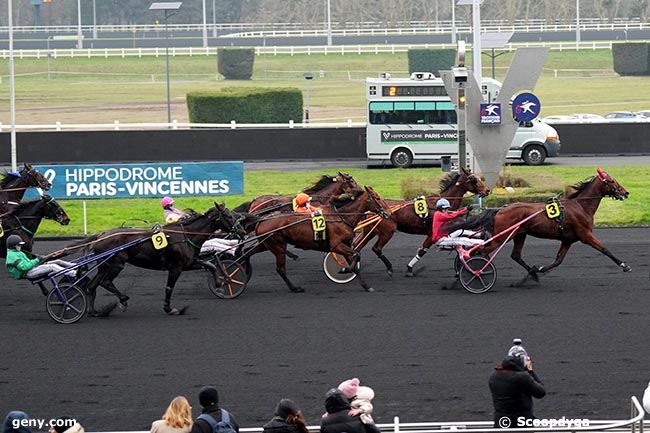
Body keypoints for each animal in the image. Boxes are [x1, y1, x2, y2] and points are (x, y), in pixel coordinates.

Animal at [69, 201, 244, 316]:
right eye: (228, 215)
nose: (241, 231)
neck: (185, 235)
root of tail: (101, 235)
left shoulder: (188, 263)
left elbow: (211, 265)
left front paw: (220, 284)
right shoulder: (176, 267)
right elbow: (169, 288)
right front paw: (170, 309)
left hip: (104, 265)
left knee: (92, 285)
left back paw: (93, 311)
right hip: (115, 265)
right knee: (105, 282)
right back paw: (123, 300)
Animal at [247, 184, 390, 292]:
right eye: (377, 197)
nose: (388, 212)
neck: (340, 216)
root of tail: (262, 219)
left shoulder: (346, 244)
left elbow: (355, 259)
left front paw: (365, 285)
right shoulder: (336, 245)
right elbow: (356, 255)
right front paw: (344, 269)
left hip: (265, 244)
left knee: (246, 253)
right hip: (278, 246)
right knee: (280, 269)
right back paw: (295, 288)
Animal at [450, 167, 628, 282]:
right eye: (612, 181)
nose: (626, 192)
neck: (580, 206)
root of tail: (500, 209)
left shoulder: (568, 240)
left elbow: (558, 260)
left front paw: (539, 270)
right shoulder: (585, 235)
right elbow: (605, 249)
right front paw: (624, 265)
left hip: (519, 234)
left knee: (514, 255)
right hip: (502, 237)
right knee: (479, 251)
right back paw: (474, 271)